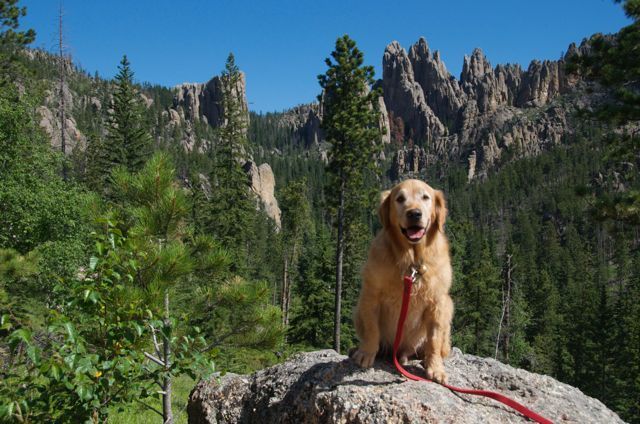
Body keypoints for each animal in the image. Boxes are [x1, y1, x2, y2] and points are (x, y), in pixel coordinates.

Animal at [352, 177, 452, 382]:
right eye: (400, 199)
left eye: (425, 197)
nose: (414, 213)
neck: (411, 259)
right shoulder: (371, 295)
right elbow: (372, 329)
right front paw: (366, 352)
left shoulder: (438, 302)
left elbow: (434, 340)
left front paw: (436, 368)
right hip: (357, 310)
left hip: (449, 306)